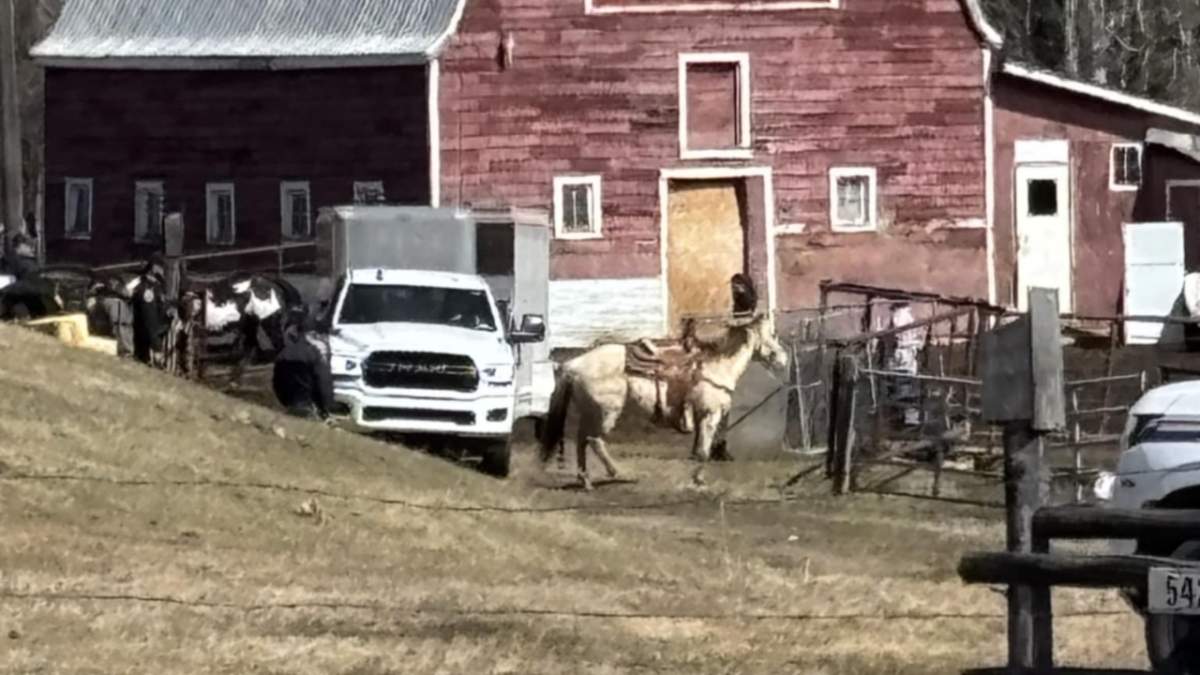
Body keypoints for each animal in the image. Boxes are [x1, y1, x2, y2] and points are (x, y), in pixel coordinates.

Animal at [538, 313, 789, 490]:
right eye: (771, 335)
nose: (783, 360)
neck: (716, 366)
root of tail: (573, 364)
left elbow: (700, 448)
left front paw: (697, 478)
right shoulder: (710, 414)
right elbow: (703, 451)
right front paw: (698, 481)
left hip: (591, 412)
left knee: (582, 440)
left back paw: (586, 481)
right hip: (607, 412)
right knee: (594, 440)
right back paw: (616, 473)